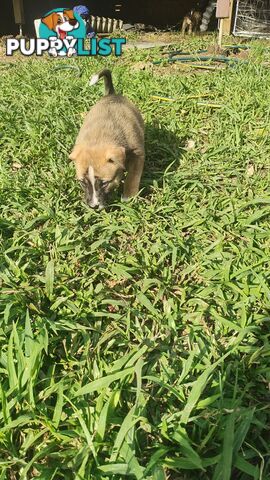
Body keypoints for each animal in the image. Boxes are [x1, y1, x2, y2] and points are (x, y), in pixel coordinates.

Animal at [70, 69, 146, 208]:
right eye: (82, 182)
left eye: (104, 183)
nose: (93, 206)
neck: (100, 138)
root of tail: (112, 94)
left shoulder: (138, 153)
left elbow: (133, 176)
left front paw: (128, 196)